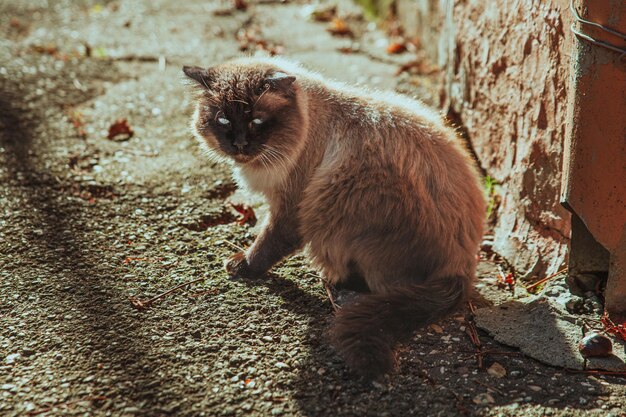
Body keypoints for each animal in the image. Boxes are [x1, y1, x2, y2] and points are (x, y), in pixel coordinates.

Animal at [183, 56, 486, 380]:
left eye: (257, 122)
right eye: (224, 121)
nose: (239, 145)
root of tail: (464, 269)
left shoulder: (292, 208)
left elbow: (267, 243)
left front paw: (242, 266)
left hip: (333, 200)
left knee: (375, 285)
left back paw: (335, 281)